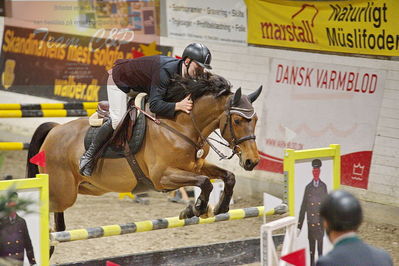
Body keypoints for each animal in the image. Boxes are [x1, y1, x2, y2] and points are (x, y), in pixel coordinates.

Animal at [25, 72, 262, 233]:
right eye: (238, 120)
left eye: (256, 120)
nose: (252, 161)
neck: (181, 126)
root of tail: (54, 130)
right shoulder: (162, 177)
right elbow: (205, 182)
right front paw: (196, 209)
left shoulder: (196, 166)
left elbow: (227, 177)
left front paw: (219, 207)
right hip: (64, 192)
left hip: (83, 188)